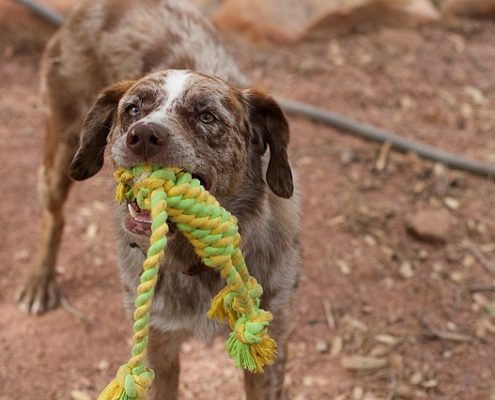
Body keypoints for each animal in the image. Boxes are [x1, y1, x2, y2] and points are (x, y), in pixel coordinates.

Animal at [15, 1, 300, 398]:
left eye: (207, 116)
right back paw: (39, 281)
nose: (144, 135)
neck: (196, 260)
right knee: (53, 216)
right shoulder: (157, 346)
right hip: (61, 148)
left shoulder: (271, 347)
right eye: (133, 109)